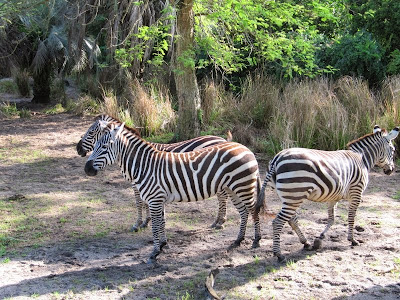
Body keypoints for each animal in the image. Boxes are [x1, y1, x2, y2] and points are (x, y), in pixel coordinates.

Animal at [76, 114, 230, 230]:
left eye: (91, 132)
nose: (77, 149)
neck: (136, 158)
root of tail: (222, 139)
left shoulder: (138, 183)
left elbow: (139, 202)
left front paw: (138, 223)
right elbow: (145, 202)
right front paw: (147, 221)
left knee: (222, 196)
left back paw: (220, 222)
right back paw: (218, 220)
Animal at [83, 122, 262, 262]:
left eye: (104, 146)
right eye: (96, 144)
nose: (87, 169)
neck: (144, 166)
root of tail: (245, 148)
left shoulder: (154, 199)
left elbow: (155, 226)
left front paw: (154, 252)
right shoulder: (158, 199)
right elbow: (162, 222)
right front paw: (163, 245)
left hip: (243, 186)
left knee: (253, 210)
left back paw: (256, 241)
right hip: (233, 188)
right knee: (243, 212)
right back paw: (238, 240)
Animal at [258, 125, 398, 262]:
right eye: (393, 150)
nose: (390, 171)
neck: (362, 159)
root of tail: (277, 158)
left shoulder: (333, 197)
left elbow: (332, 219)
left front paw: (321, 237)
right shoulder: (356, 192)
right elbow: (351, 217)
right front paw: (352, 240)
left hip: (288, 196)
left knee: (292, 219)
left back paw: (306, 243)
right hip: (294, 195)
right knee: (278, 222)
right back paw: (279, 254)